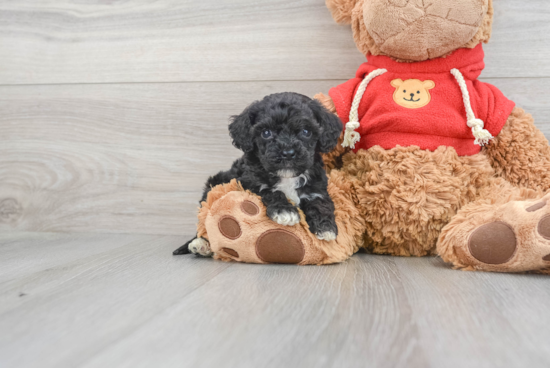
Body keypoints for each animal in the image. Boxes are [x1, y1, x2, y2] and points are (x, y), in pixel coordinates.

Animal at [175, 92, 342, 256]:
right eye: (266, 133)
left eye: (306, 132)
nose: (288, 153)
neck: (287, 177)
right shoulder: (249, 182)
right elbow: (270, 191)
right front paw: (285, 211)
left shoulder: (316, 188)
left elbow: (321, 203)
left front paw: (325, 228)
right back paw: (201, 244)